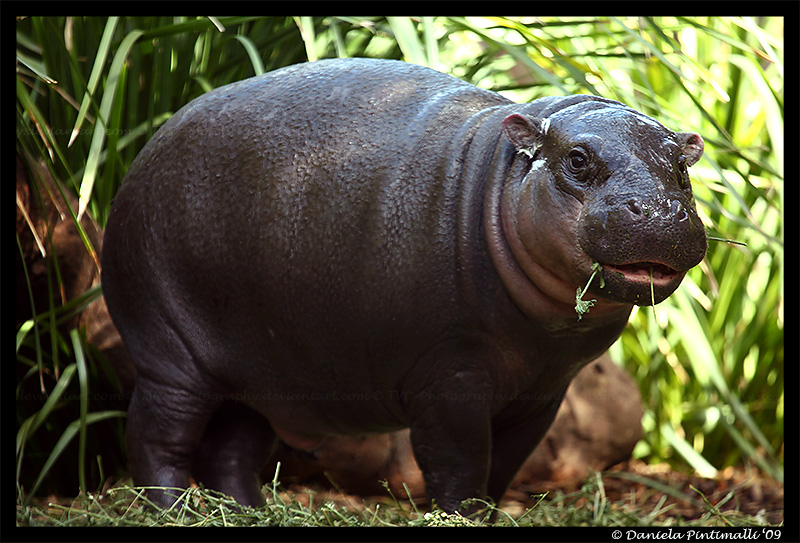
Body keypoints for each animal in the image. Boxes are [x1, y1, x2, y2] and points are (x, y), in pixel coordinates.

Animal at [101, 57, 708, 516]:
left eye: (681, 165)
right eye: (578, 160)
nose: (660, 209)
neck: (494, 187)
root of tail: (145, 149)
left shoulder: (546, 388)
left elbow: (505, 464)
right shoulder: (449, 375)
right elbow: (459, 461)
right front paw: (461, 516)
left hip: (261, 366)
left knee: (231, 448)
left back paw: (251, 512)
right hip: (171, 352)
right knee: (157, 436)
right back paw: (174, 512)